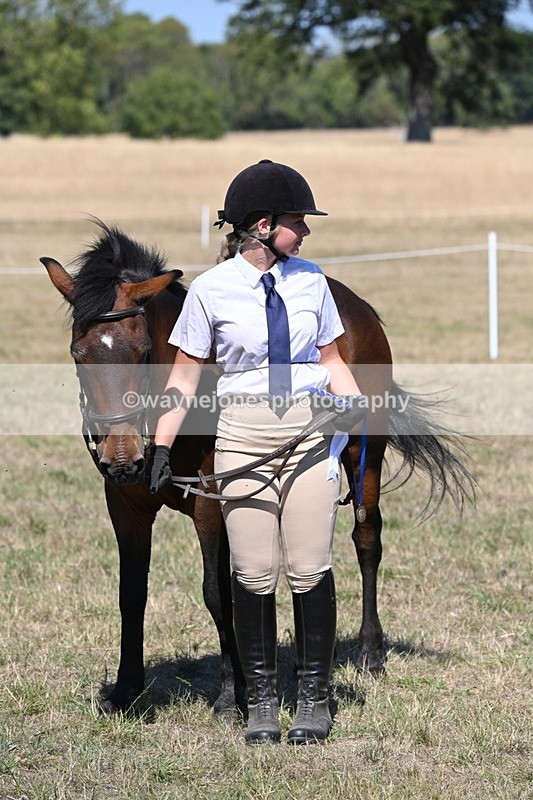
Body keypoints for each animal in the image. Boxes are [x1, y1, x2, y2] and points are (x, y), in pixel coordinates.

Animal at [41, 221, 474, 716]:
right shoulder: (125, 504)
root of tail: (356, 307)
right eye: (78, 352)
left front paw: (232, 694)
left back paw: (370, 651)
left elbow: (217, 592)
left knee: (366, 539)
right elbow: (131, 593)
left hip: (364, 453)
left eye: (143, 350)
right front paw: (125, 689)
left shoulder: (212, 503)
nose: (121, 459)